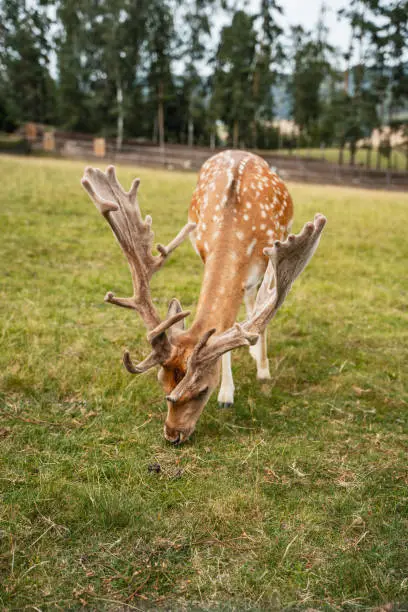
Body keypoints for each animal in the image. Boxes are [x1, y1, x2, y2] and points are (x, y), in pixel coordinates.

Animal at [81, 148, 326, 444]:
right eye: (162, 382)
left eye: (202, 390)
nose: (172, 434)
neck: (235, 228)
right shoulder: (205, 252)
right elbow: (227, 325)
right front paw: (227, 394)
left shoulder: (271, 255)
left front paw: (260, 372)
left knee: (254, 300)